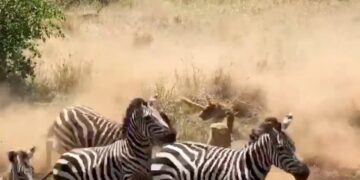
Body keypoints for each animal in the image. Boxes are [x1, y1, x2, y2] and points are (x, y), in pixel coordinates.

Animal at [43, 97, 177, 179]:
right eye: (148, 118)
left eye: (163, 115)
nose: (173, 135)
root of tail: (63, 111)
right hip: (66, 143)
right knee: (50, 144)